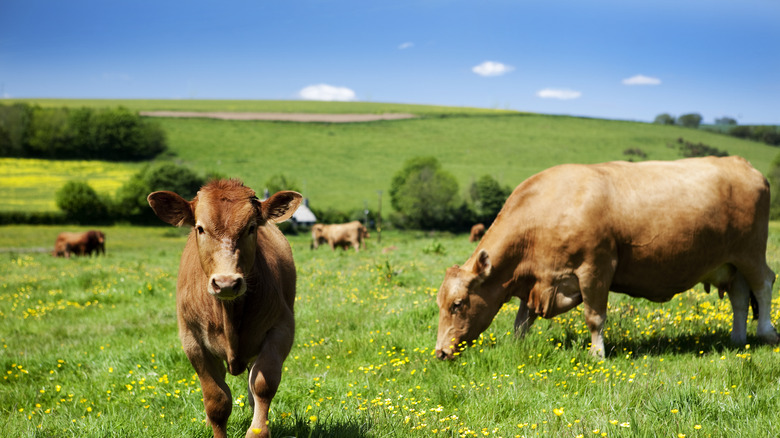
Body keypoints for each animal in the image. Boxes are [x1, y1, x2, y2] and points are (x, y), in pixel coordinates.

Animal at [146, 179, 302, 438]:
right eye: (200, 228)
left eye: (251, 227)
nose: (226, 282)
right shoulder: (192, 341)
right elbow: (217, 400)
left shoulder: (281, 329)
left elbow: (263, 384)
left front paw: (258, 430)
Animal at [436, 157, 776, 360]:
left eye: (458, 304)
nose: (440, 352)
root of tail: (741, 163)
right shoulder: (537, 281)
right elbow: (522, 322)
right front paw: (517, 349)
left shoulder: (595, 269)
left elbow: (594, 317)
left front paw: (597, 354)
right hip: (730, 264)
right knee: (740, 297)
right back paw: (737, 339)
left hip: (751, 253)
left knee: (764, 284)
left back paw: (767, 333)